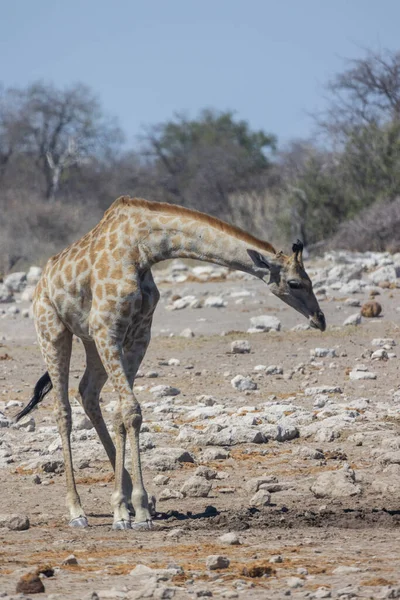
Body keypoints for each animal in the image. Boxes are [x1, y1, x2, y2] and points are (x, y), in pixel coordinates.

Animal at [15, 196, 326, 528]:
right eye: (294, 283)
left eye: (309, 280)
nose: (319, 319)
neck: (143, 249)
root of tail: (40, 283)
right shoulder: (107, 329)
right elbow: (130, 409)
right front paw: (129, 512)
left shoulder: (138, 333)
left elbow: (124, 413)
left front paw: (134, 506)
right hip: (52, 331)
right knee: (63, 411)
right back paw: (77, 511)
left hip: (89, 340)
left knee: (87, 393)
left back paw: (125, 494)